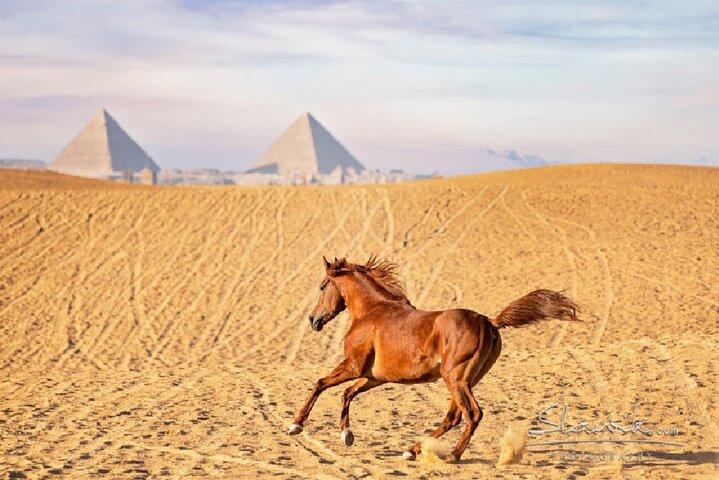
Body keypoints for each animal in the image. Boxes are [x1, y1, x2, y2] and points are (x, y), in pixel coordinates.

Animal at [287, 255, 580, 462]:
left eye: (322, 286)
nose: (313, 320)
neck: (372, 311)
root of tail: (490, 323)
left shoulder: (354, 366)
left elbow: (320, 384)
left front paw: (295, 425)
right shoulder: (374, 377)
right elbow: (347, 393)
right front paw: (346, 435)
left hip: (455, 378)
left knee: (472, 414)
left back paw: (451, 455)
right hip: (464, 380)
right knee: (454, 417)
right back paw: (413, 450)